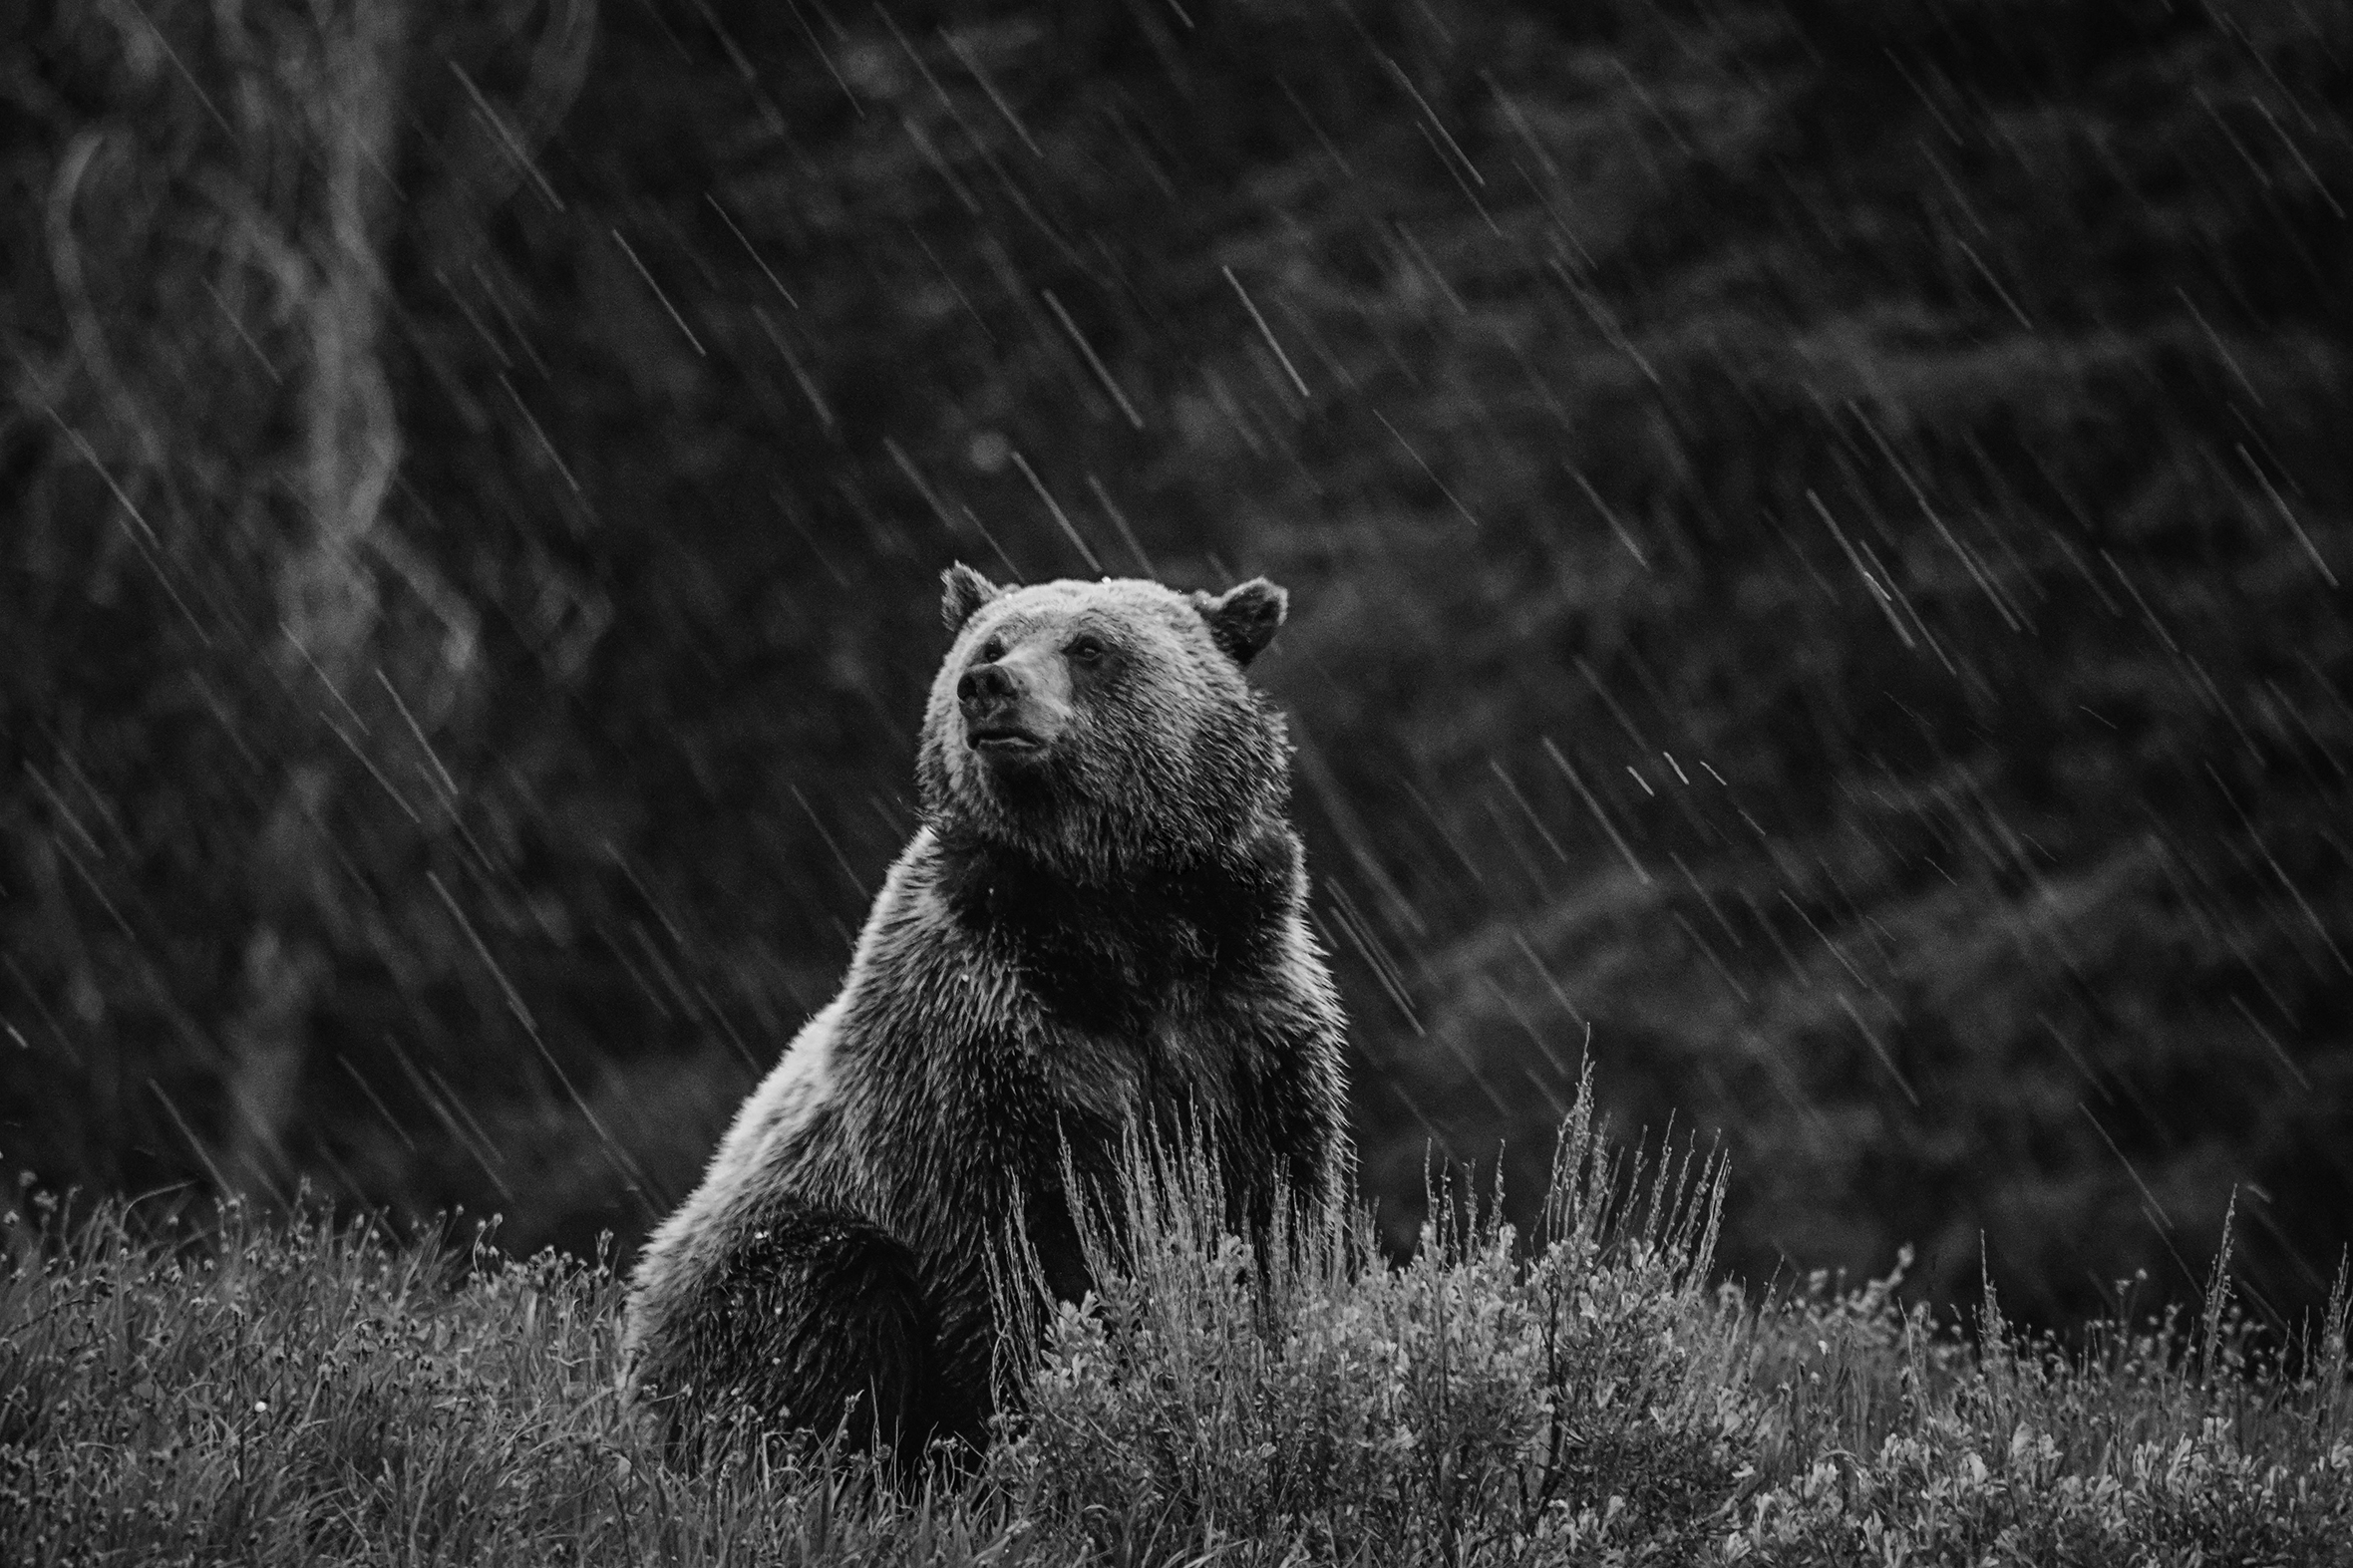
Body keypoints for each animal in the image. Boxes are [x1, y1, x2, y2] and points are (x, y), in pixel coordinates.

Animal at [625, 561, 1355, 1457]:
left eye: (1090, 645)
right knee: (828, 1296)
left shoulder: (1248, 1017)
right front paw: (1037, 1415)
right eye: (991, 643)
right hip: (742, 1270)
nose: (988, 687)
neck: (1118, 913)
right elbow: (1009, 1257)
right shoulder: (983, 1044)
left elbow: (1276, 1216)